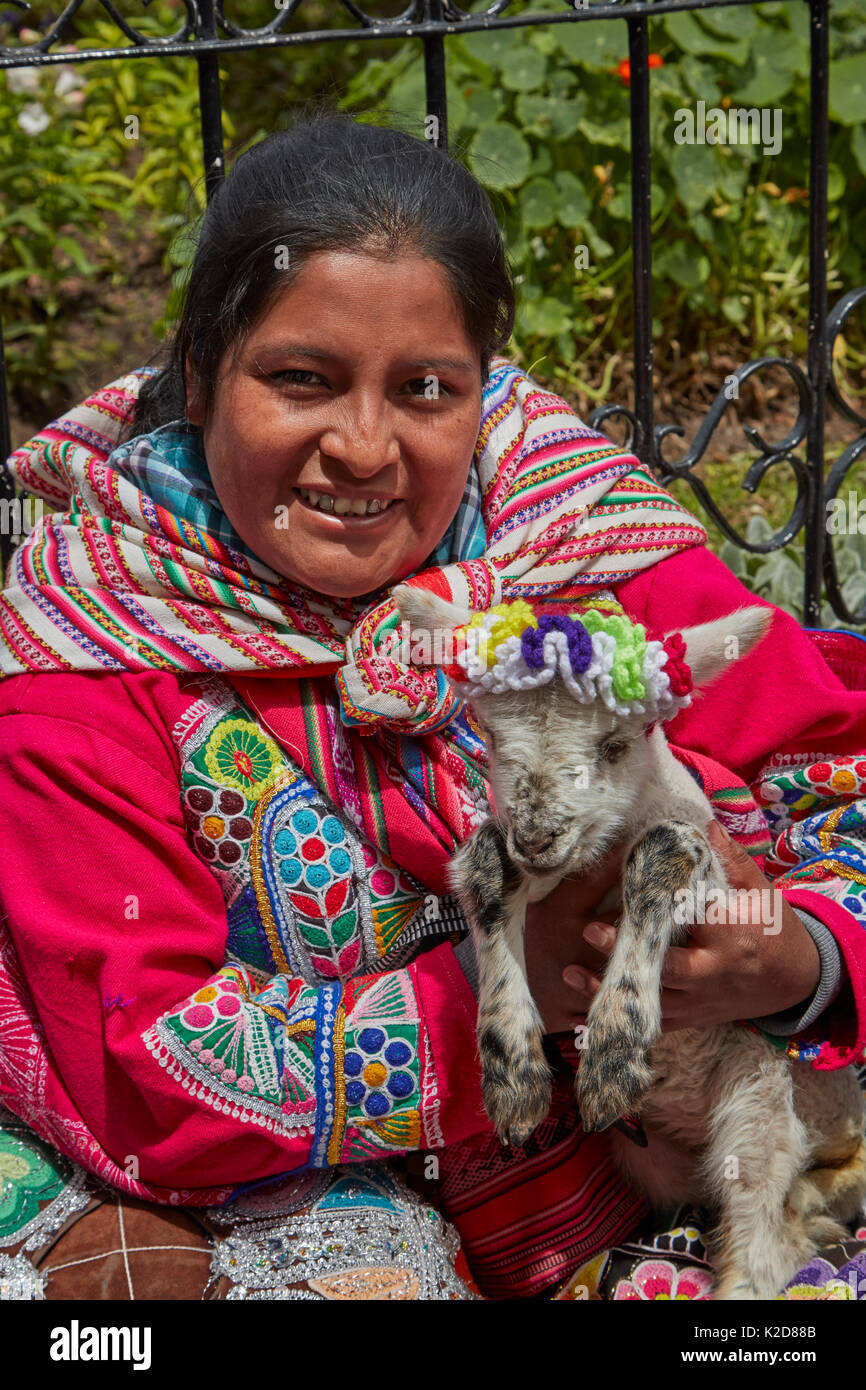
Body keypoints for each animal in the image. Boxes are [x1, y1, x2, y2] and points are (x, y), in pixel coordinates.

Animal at [391, 586, 866, 1301]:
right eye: (493, 737)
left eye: (615, 745)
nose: (537, 838)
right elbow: (483, 864)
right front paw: (513, 1075)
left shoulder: (716, 884)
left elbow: (663, 853)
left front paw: (614, 1054)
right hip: (652, 1160)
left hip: (764, 1091)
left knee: (766, 1241)